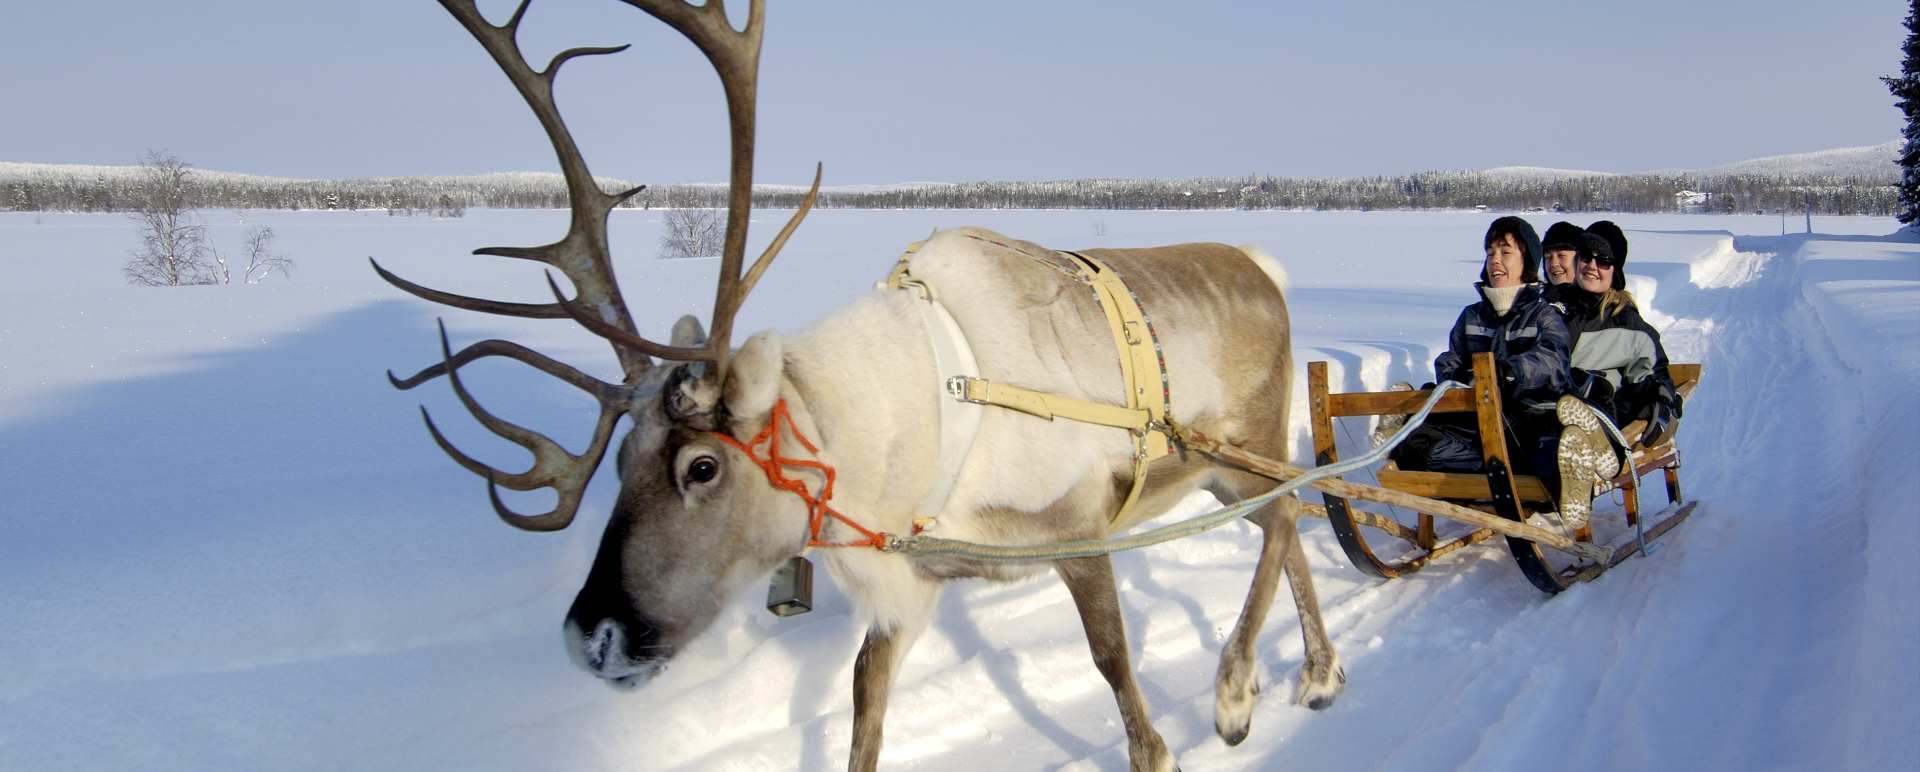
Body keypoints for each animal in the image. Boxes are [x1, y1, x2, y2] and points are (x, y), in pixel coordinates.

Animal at [376, 2, 1343, 770]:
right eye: (619, 461)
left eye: (702, 467)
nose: (592, 637)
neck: (915, 431)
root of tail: (1263, 266)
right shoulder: (908, 589)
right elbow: (863, 706)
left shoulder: (1074, 529)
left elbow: (1115, 667)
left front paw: (1178, 737)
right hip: (1215, 473)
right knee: (1292, 516)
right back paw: (1320, 673)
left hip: (1243, 447)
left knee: (1292, 509)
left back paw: (1237, 693)